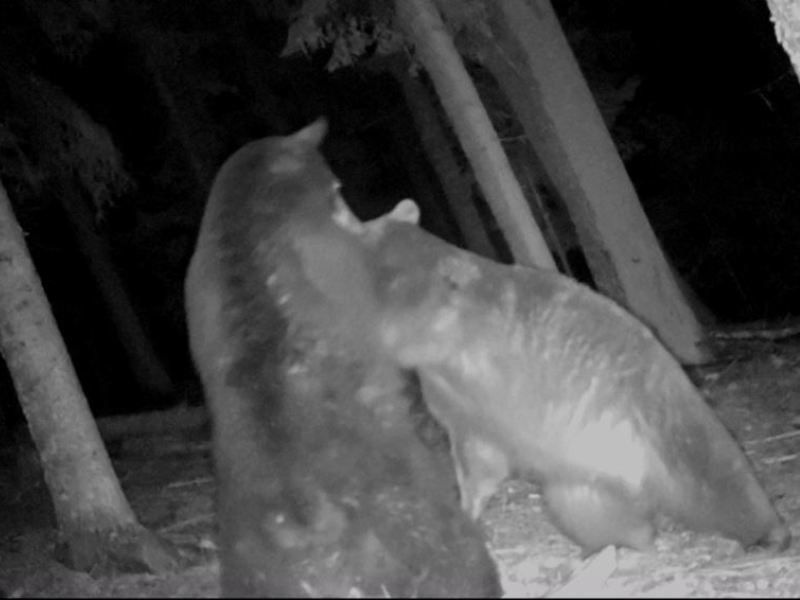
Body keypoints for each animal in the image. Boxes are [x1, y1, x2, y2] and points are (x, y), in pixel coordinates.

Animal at [186, 120, 500, 596]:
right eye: (336, 186)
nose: (349, 210)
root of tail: (307, 529)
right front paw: (401, 214)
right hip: (416, 518)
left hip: (255, 572)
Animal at [348, 204, 788, 556]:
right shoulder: (470, 413)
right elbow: (478, 462)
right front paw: (467, 511)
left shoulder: (442, 317)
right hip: (577, 479)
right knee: (594, 514)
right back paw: (624, 542)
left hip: (662, 418)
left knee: (717, 475)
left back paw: (764, 529)